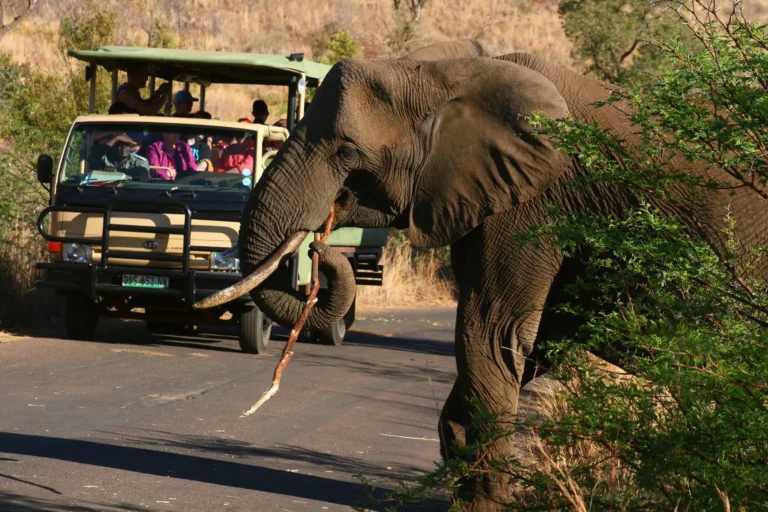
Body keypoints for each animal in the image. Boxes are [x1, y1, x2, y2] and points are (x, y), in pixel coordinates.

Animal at [198, 42, 766, 510]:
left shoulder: (537, 200)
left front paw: (479, 501)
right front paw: (461, 463)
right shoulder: (478, 194)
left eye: (347, 152)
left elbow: (493, 329)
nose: (321, 242)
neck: (443, 75)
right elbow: (529, 340)